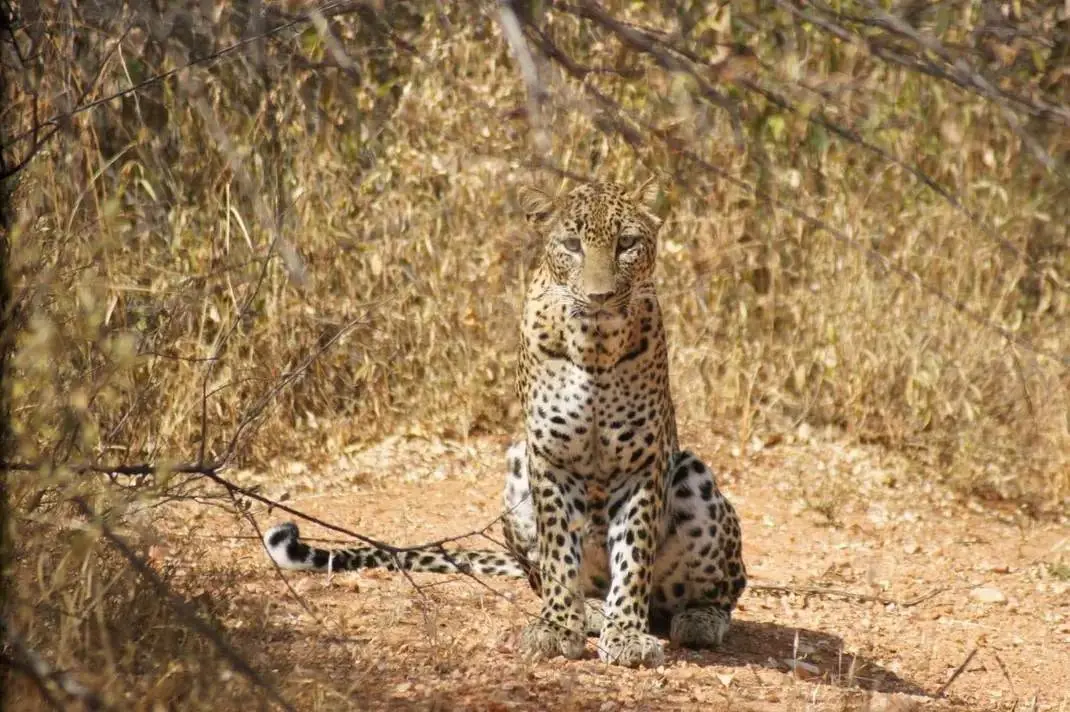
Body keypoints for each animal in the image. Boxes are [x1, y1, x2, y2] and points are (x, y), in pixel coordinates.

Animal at [264, 178, 747, 668]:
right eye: (572, 245)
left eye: (626, 243)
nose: (600, 298)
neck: (594, 345)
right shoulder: (549, 458)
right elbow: (558, 553)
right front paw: (557, 626)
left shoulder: (643, 462)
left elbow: (632, 554)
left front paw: (627, 633)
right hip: (516, 469)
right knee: (549, 577)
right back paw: (589, 610)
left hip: (693, 476)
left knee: (726, 587)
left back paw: (696, 619)